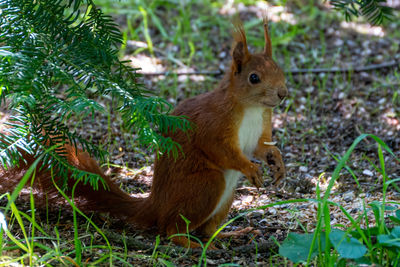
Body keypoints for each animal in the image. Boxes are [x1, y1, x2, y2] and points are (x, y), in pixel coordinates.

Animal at [0, 17, 288, 249]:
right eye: (253, 78)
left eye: (280, 69)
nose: (283, 93)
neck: (251, 108)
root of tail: (155, 207)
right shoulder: (213, 124)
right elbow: (220, 150)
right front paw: (250, 168)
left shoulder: (262, 126)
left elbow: (262, 147)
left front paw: (277, 162)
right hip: (206, 184)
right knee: (170, 229)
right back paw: (188, 242)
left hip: (224, 199)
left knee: (205, 230)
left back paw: (226, 235)